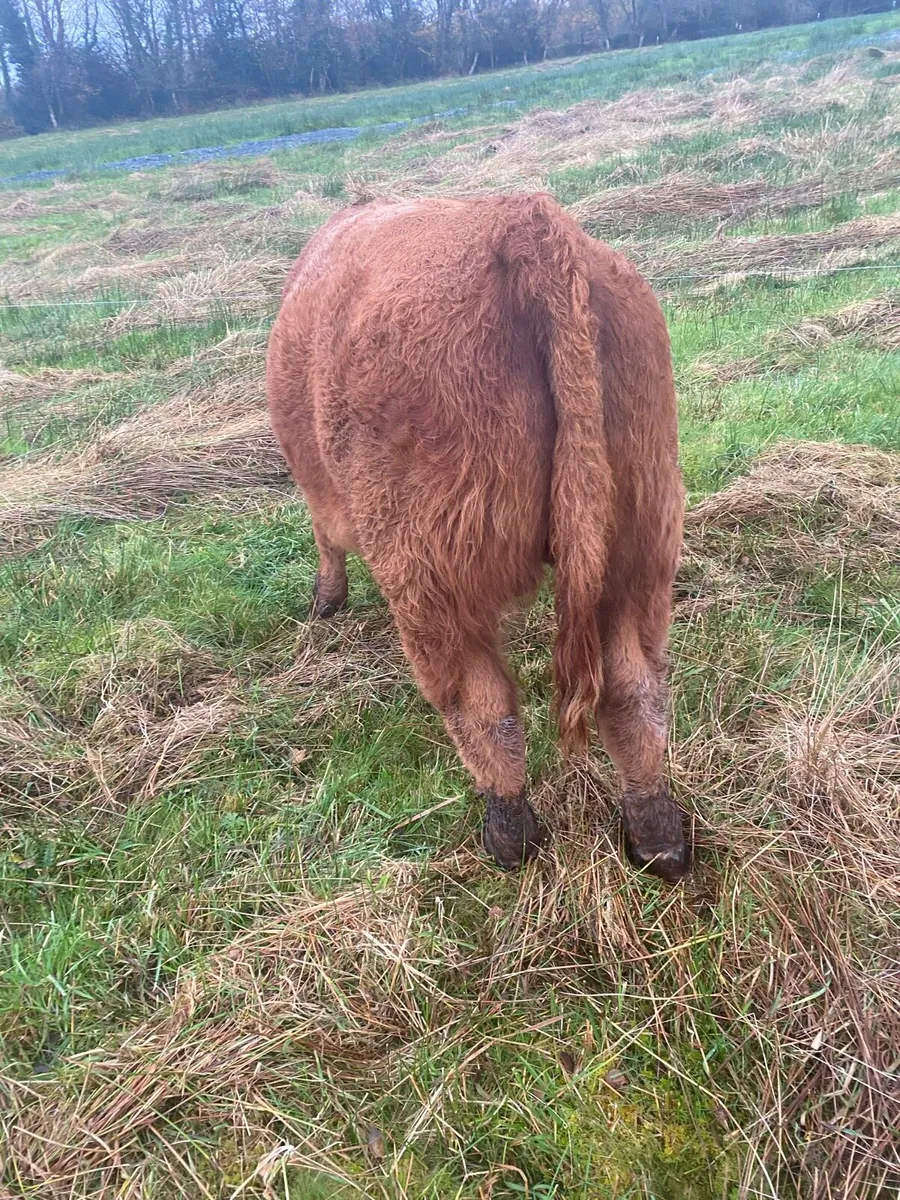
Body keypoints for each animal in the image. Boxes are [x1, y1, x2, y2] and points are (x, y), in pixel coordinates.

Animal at [266, 193, 689, 881]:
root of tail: (523, 220)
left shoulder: (322, 492)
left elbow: (325, 542)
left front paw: (326, 601)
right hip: (638, 549)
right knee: (633, 691)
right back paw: (658, 839)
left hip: (428, 572)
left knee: (480, 702)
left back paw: (507, 834)